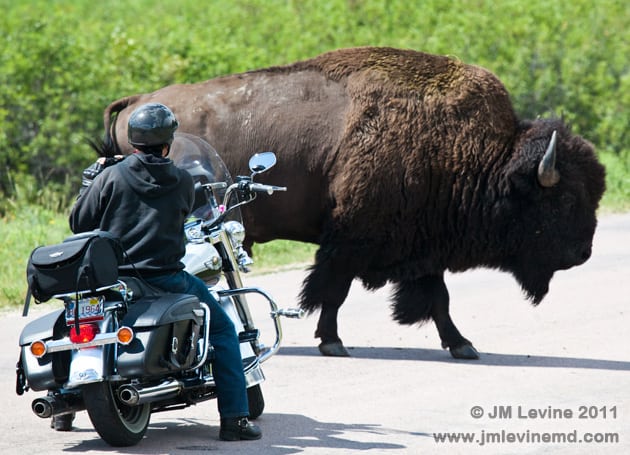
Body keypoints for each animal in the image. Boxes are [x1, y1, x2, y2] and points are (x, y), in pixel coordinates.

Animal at [99, 47, 608, 360]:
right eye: (564, 197)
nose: (582, 253)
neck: (473, 151)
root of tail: (138, 100)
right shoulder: (352, 239)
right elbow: (334, 289)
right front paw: (332, 342)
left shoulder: (421, 246)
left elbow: (437, 299)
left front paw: (463, 345)